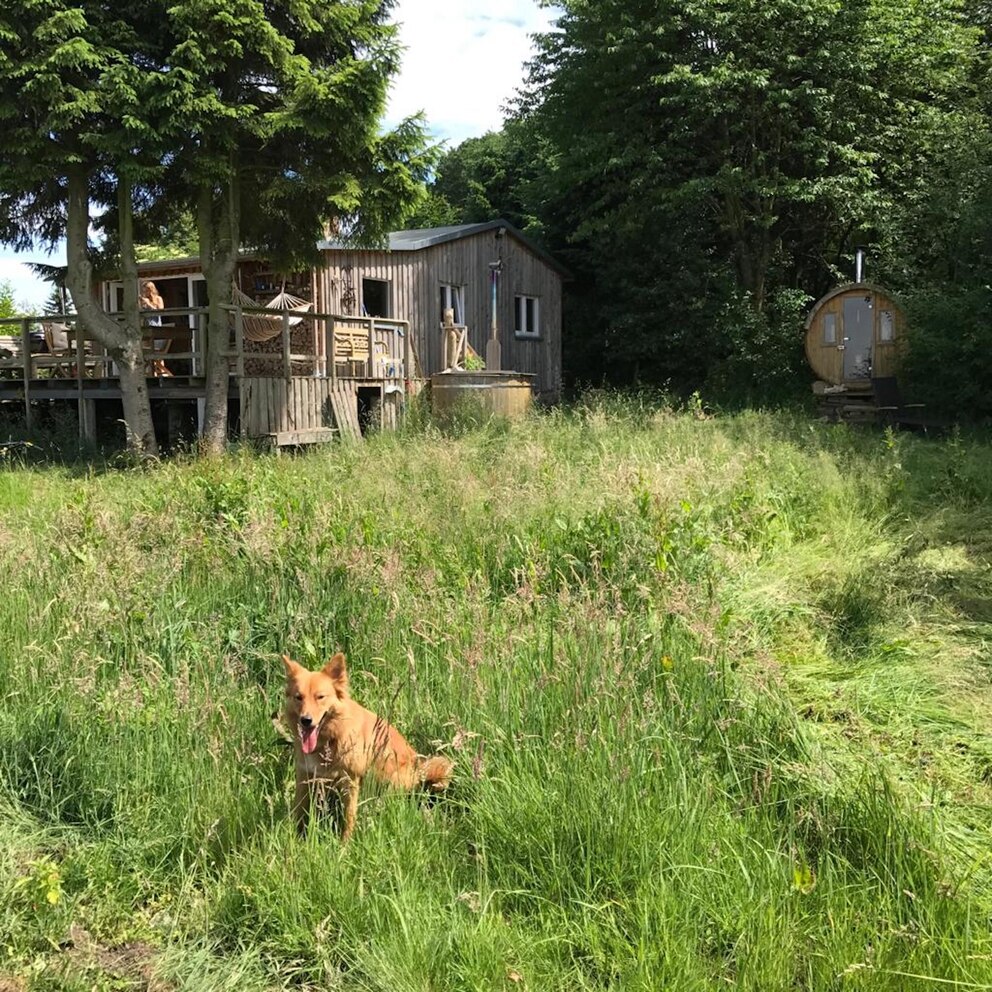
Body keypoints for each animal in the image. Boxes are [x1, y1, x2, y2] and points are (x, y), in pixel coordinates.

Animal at [280, 656, 450, 840]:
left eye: (320, 697)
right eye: (299, 697)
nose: (306, 720)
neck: (329, 740)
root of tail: (418, 770)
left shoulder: (350, 780)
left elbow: (349, 817)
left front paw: (345, 843)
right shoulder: (304, 776)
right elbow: (298, 810)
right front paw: (294, 838)